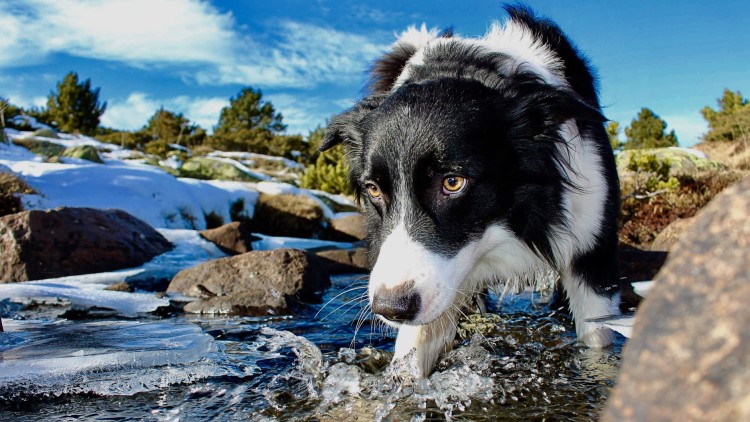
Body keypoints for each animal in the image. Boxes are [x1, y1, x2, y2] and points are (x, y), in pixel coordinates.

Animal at [322, 5, 624, 376]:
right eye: (374, 189)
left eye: (453, 182)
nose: (391, 308)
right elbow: (412, 355)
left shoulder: (592, 247)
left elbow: (598, 342)